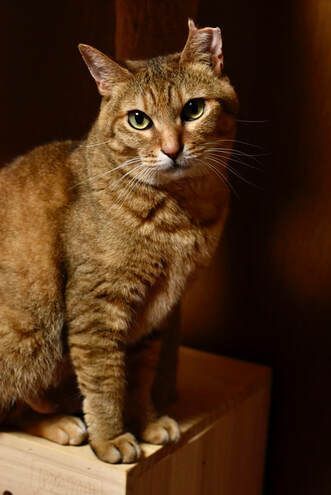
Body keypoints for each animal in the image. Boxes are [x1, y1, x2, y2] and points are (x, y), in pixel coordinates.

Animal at [0, 18, 239, 462]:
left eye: (193, 109)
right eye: (138, 119)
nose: (172, 149)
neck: (179, 213)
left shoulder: (155, 317)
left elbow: (139, 379)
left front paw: (146, 422)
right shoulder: (98, 308)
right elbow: (105, 384)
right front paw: (110, 437)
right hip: (32, 332)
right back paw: (64, 424)